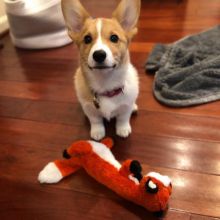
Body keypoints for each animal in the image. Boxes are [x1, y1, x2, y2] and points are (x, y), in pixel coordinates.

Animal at [61, 0, 140, 140]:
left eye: (114, 38)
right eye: (87, 39)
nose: (98, 55)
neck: (105, 83)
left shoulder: (125, 107)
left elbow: (123, 118)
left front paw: (123, 129)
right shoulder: (89, 109)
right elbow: (95, 120)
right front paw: (97, 132)